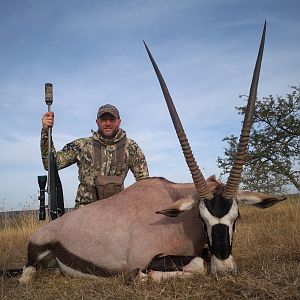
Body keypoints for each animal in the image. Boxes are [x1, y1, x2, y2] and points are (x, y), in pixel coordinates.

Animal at [19, 21, 284, 284]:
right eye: (202, 219)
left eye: (236, 218)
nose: (226, 269)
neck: (177, 216)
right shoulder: (143, 258)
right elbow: (198, 264)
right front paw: (146, 276)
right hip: (36, 253)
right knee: (27, 273)